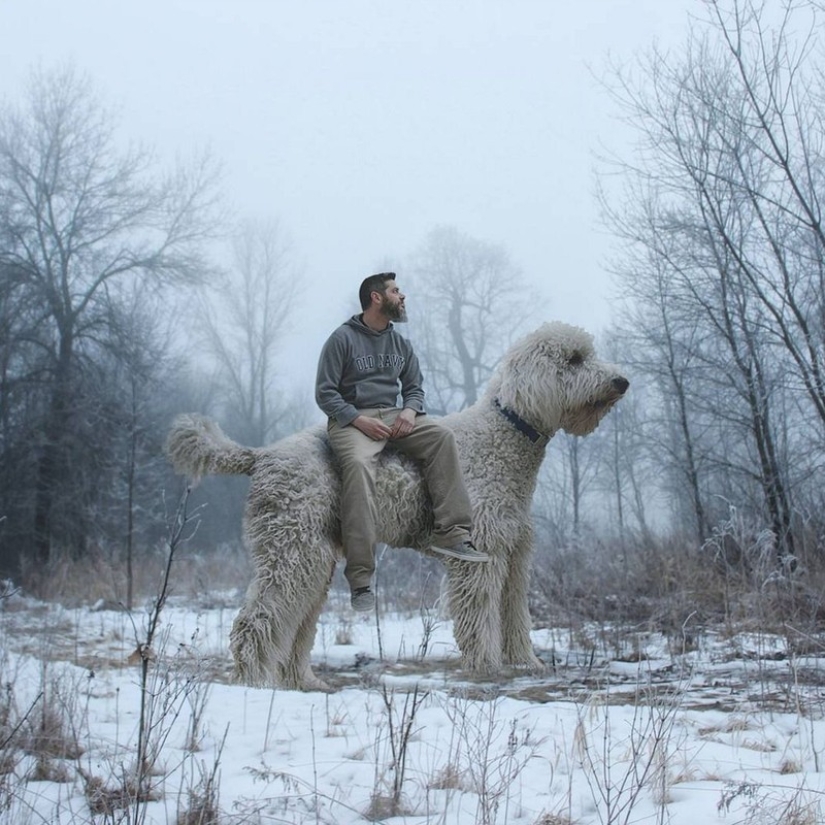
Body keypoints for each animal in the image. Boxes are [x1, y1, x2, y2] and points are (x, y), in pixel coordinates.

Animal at [169, 322, 632, 688]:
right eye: (573, 359)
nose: (621, 381)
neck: (502, 441)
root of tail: (261, 455)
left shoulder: (515, 552)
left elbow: (515, 613)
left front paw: (526, 663)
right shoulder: (480, 555)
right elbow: (481, 616)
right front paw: (488, 667)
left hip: (311, 559)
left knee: (297, 626)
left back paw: (304, 681)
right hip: (292, 551)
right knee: (256, 620)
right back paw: (254, 681)